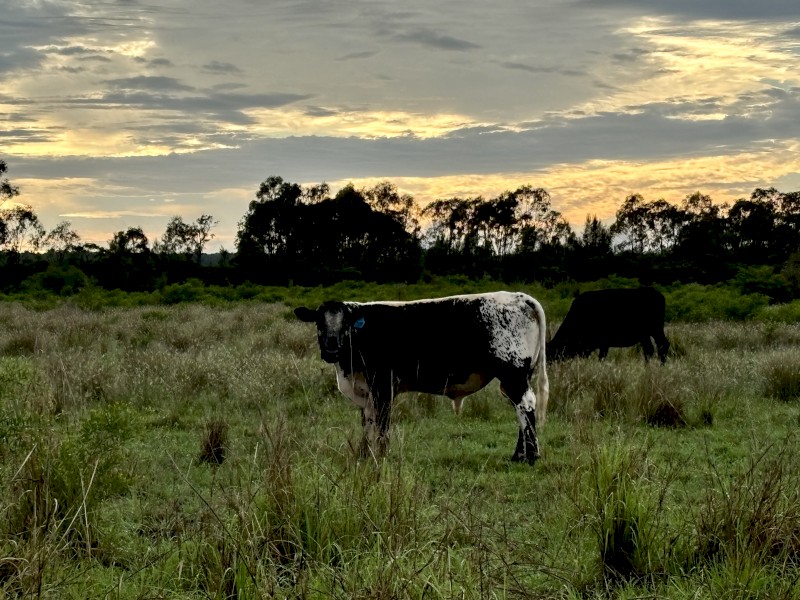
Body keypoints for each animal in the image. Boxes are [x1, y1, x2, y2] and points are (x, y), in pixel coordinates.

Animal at [294, 291, 549, 465]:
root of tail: (519, 297)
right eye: (319, 322)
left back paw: (531, 455)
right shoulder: (365, 390)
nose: (331, 348)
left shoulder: (383, 386)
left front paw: (382, 455)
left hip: (513, 372)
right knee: (520, 408)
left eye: (346, 324)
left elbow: (382, 423)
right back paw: (518, 455)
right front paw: (365, 455)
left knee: (526, 405)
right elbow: (367, 422)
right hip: (516, 377)